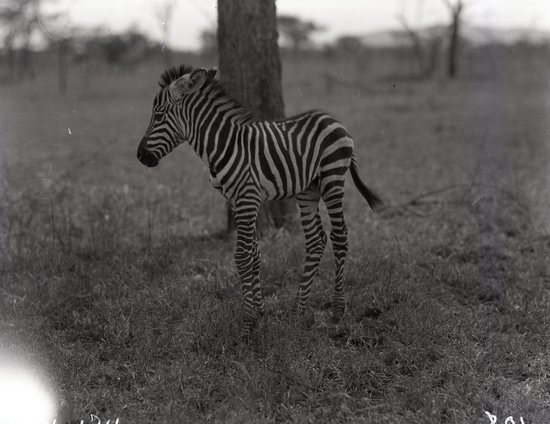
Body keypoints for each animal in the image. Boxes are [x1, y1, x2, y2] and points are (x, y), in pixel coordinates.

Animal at [137, 65, 384, 338]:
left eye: (159, 116)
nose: (140, 156)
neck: (222, 145)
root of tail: (333, 119)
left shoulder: (246, 198)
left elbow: (242, 256)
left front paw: (247, 325)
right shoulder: (237, 201)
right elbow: (254, 254)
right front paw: (259, 313)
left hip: (333, 178)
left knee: (340, 237)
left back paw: (338, 310)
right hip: (307, 189)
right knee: (316, 240)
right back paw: (299, 310)